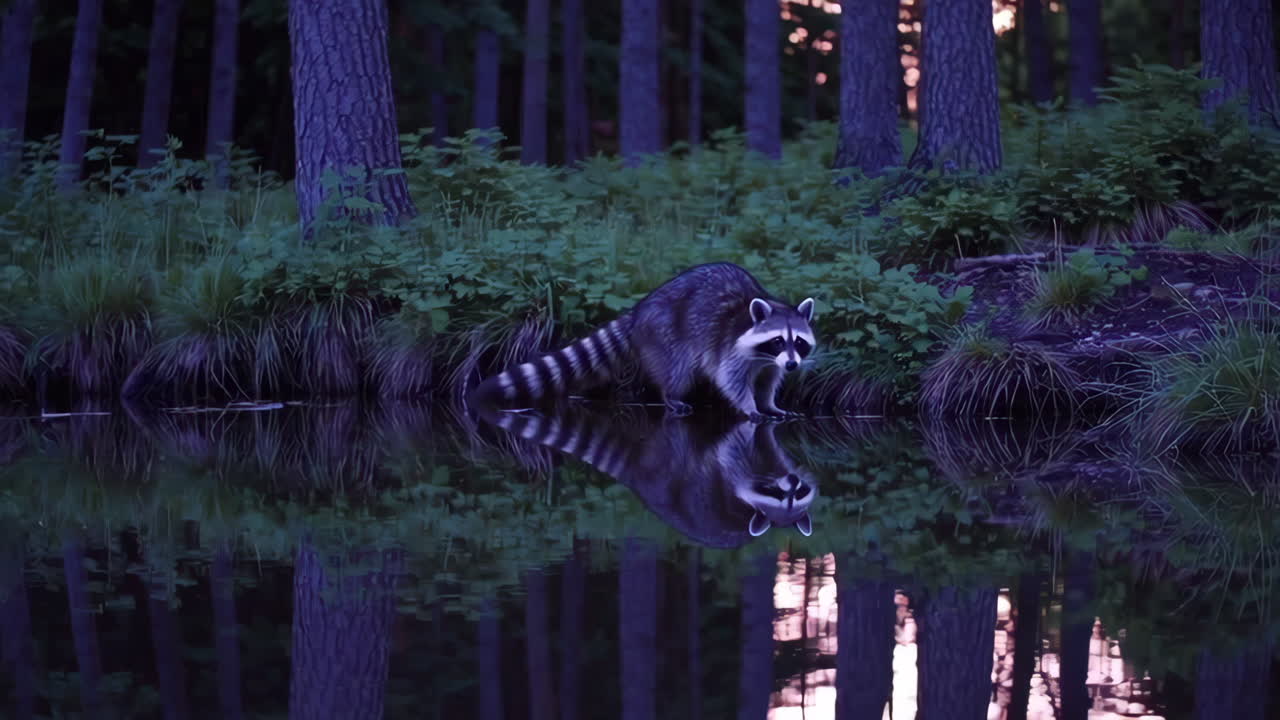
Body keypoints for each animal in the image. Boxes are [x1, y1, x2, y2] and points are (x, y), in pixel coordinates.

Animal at [471, 263, 816, 421]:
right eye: (777, 340)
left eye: (798, 342)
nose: (792, 364)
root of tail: (640, 309)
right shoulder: (728, 346)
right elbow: (729, 379)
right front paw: (749, 406)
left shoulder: (771, 363)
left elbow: (768, 381)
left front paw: (770, 403)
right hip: (668, 333)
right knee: (678, 370)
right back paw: (670, 395)